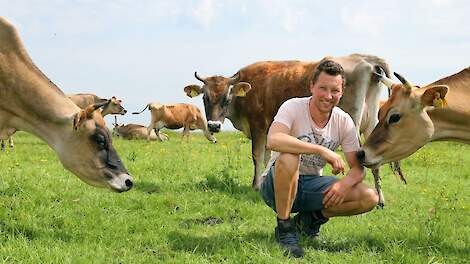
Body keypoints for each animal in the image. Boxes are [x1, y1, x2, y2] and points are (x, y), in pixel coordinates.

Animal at [185, 54, 392, 190]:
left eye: (226, 99)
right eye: (205, 98)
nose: (213, 125)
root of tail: (363, 58)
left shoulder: (258, 127)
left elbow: (257, 156)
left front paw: (255, 186)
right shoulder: (270, 130)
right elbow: (267, 156)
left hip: (353, 123)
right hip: (373, 124)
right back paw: (379, 200)